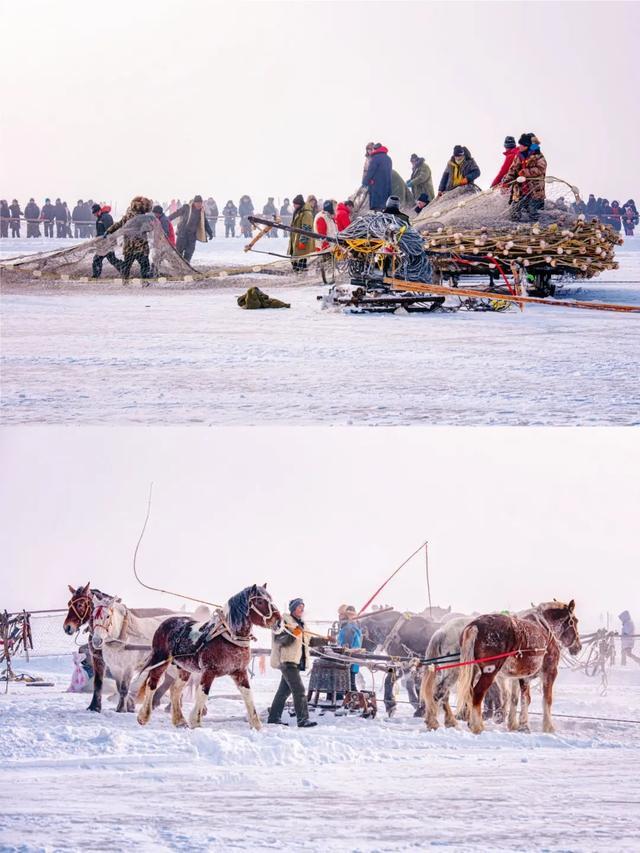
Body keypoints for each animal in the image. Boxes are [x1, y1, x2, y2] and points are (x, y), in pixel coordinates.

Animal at [138, 584, 280, 728]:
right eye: (260, 601)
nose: (278, 621)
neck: (228, 637)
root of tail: (165, 623)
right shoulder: (209, 671)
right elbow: (203, 694)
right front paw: (196, 722)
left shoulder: (239, 672)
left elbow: (248, 695)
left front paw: (257, 725)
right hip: (161, 660)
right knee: (152, 684)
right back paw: (143, 717)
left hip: (184, 669)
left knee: (175, 690)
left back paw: (180, 720)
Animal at [456, 600, 580, 732]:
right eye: (575, 621)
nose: (578, 646)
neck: (546, 630)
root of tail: (475, 626)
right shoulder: (550, 672)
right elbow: (547, 699)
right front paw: (548, 727)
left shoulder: (522, 676)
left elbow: (521, 698)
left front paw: (520, 725)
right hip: (490, 672)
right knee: (477, 693)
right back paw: (477, 726)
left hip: (473, 671)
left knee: (469, 692)